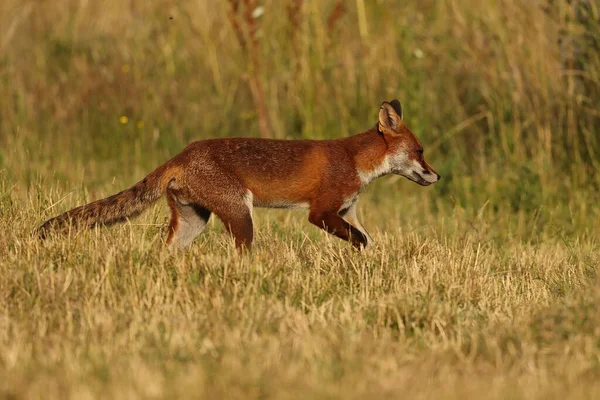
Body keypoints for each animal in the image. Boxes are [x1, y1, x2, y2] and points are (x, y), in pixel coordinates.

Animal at [38, 99, 440, 248]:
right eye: (421, 151)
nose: (437, 177)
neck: (355, 160)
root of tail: (182, 153)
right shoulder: (321, 212)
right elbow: (360, 240)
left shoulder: (347, 210)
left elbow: (368, 239)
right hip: (240, 215)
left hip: (193, 221)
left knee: (164, 251)